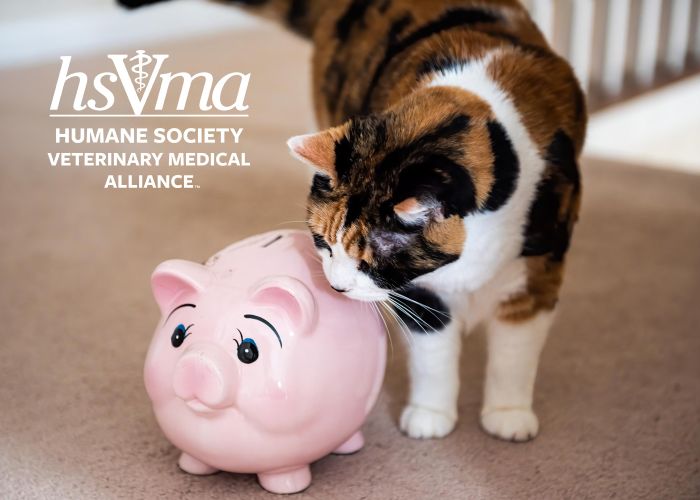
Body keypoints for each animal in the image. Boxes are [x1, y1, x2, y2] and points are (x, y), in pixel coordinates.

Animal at [124, 0, 584, 442]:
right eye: (322, 243)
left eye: (373, 260)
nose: (337, 287)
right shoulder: (421, 294)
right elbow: (433, 354)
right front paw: (431, 415)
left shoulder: (538, 269)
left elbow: (514, 353)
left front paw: (508, 415)